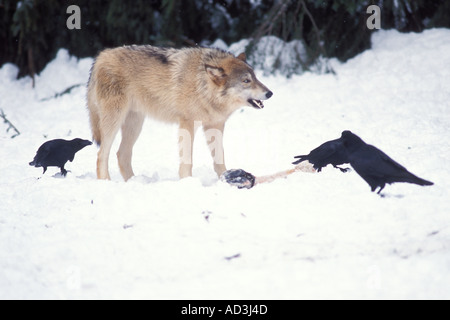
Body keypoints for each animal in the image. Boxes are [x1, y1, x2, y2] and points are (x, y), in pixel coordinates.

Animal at [86, 45, 272, 180]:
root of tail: (101, 56)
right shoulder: (187, 124)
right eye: (246, 81)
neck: (202, 86)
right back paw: (106, 182)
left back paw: (134, 182)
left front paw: (225, 179)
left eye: (256, 78)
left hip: (135, 125)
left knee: (122, 155)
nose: (270, 93)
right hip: (115, 120)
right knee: (102, 154)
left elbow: (219, 158)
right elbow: (187, 161)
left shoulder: (215, 126)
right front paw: (187, 182)